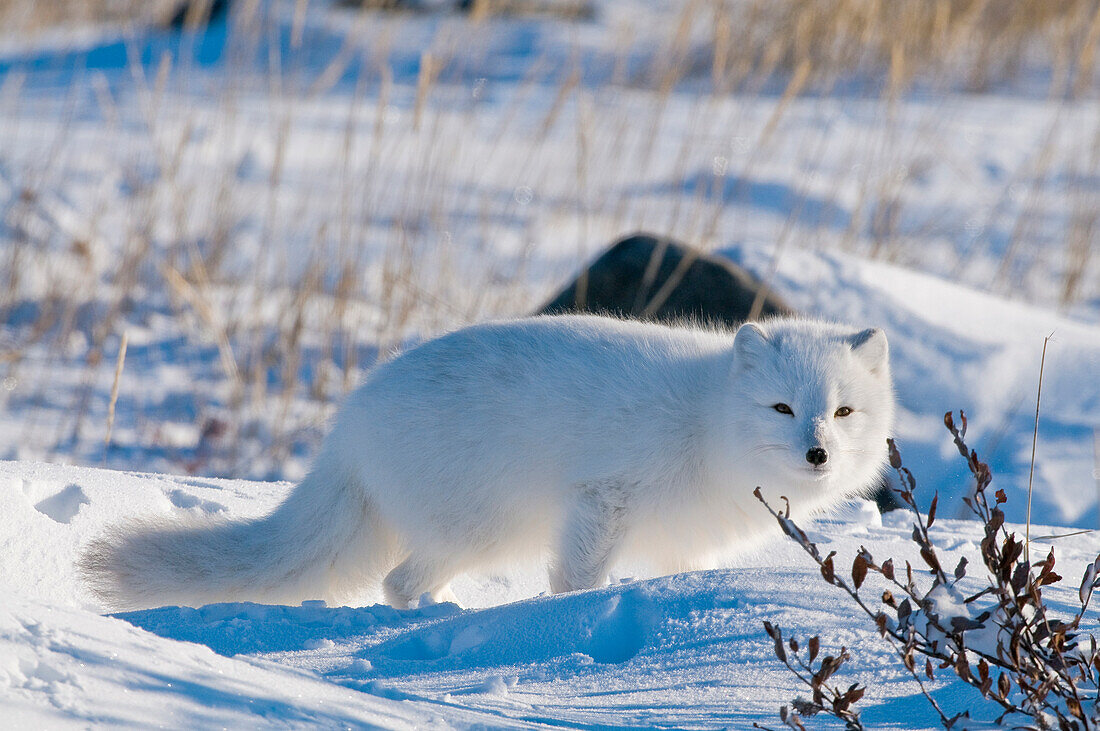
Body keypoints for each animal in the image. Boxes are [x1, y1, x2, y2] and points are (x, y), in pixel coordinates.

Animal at [83, 316, 893, 606]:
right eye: (782, 408)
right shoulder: (601, 502)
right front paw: (565, 624)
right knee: (397, 583)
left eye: (841, 412)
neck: (705, 424)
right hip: (485, 530)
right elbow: (575, 582)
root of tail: (348, 425)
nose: (818, 451)